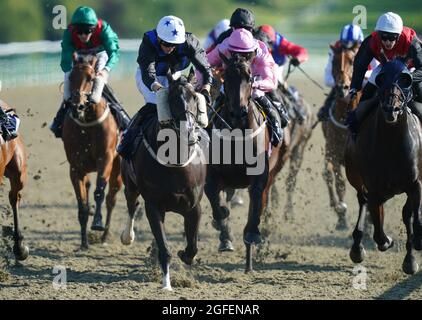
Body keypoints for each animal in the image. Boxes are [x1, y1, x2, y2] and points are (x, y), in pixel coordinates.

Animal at [61, 54, 123, 250]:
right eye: (71, 77)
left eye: (90, 78)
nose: (77, 106)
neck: (86, 124)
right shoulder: (76, 167)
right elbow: (82, 204)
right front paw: (83, 243)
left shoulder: (106, 159)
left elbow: (99, 193)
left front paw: (97, 223)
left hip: (118, 169)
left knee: (111, 198)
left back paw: (104, 236)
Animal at [120, 69, 208, 292]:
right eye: (172, 98)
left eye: (194, 97)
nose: (189, 132)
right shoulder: (153, 206)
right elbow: (164, 248)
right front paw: (167, 284)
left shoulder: (194, 206)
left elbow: (193, 247)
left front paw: (184, 254)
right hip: (130, 183)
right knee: (131, 204)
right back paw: (127, 236)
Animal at [206, 53, 288, 272]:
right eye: (226, 76)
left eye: (249, 76)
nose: (238, 111)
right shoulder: (214, 174)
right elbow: (216, 201)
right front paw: (224, 229)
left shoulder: (260, 175)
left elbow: (256, 200)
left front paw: (251, 233)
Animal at [346, 60, 422, 276]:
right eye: (381, 80)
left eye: (405, 80)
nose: (391, 109)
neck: (391, 144)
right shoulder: (374, 189)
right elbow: (379, 232)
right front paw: (386, 241)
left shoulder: (415, 183)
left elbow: (414, 216)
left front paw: (415, 247)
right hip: (354, 175)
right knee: (362, 200)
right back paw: (357, 248)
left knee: (406, 214)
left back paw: (410, 257)